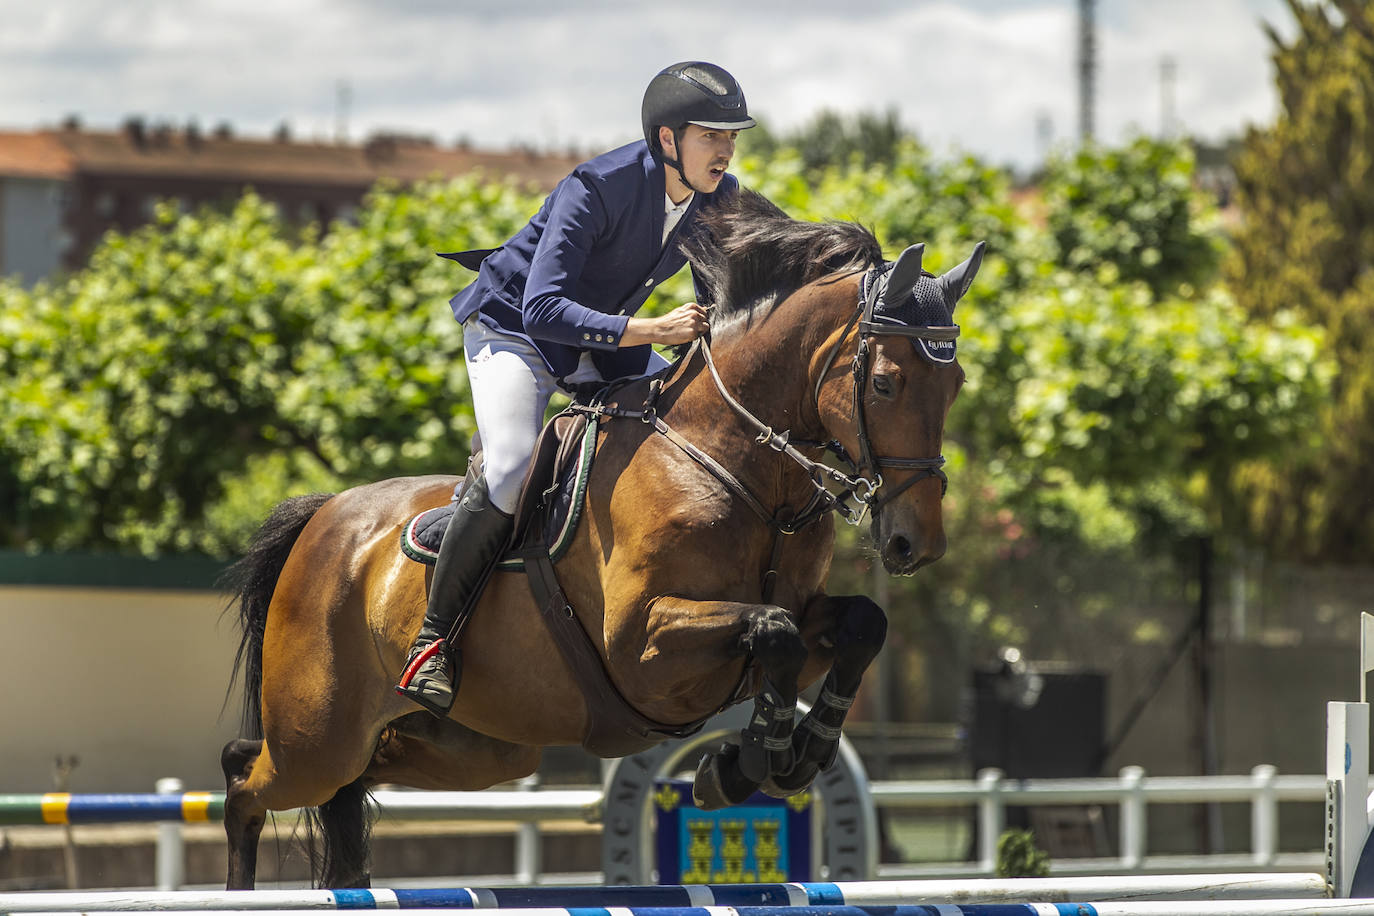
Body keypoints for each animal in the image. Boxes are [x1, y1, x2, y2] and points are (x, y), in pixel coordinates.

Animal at [219, 189, 983, 889]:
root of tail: (325, 518)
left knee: (332, 784)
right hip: (317, 739)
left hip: (473, 745)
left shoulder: (796, 611)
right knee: (244, 783)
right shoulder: (641, 644)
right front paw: (746, 762)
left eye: (955, 385)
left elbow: (860, 623)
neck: (733, 466)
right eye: (884, 383)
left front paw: (788, 756)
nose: (916, 544)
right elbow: (775, 632)